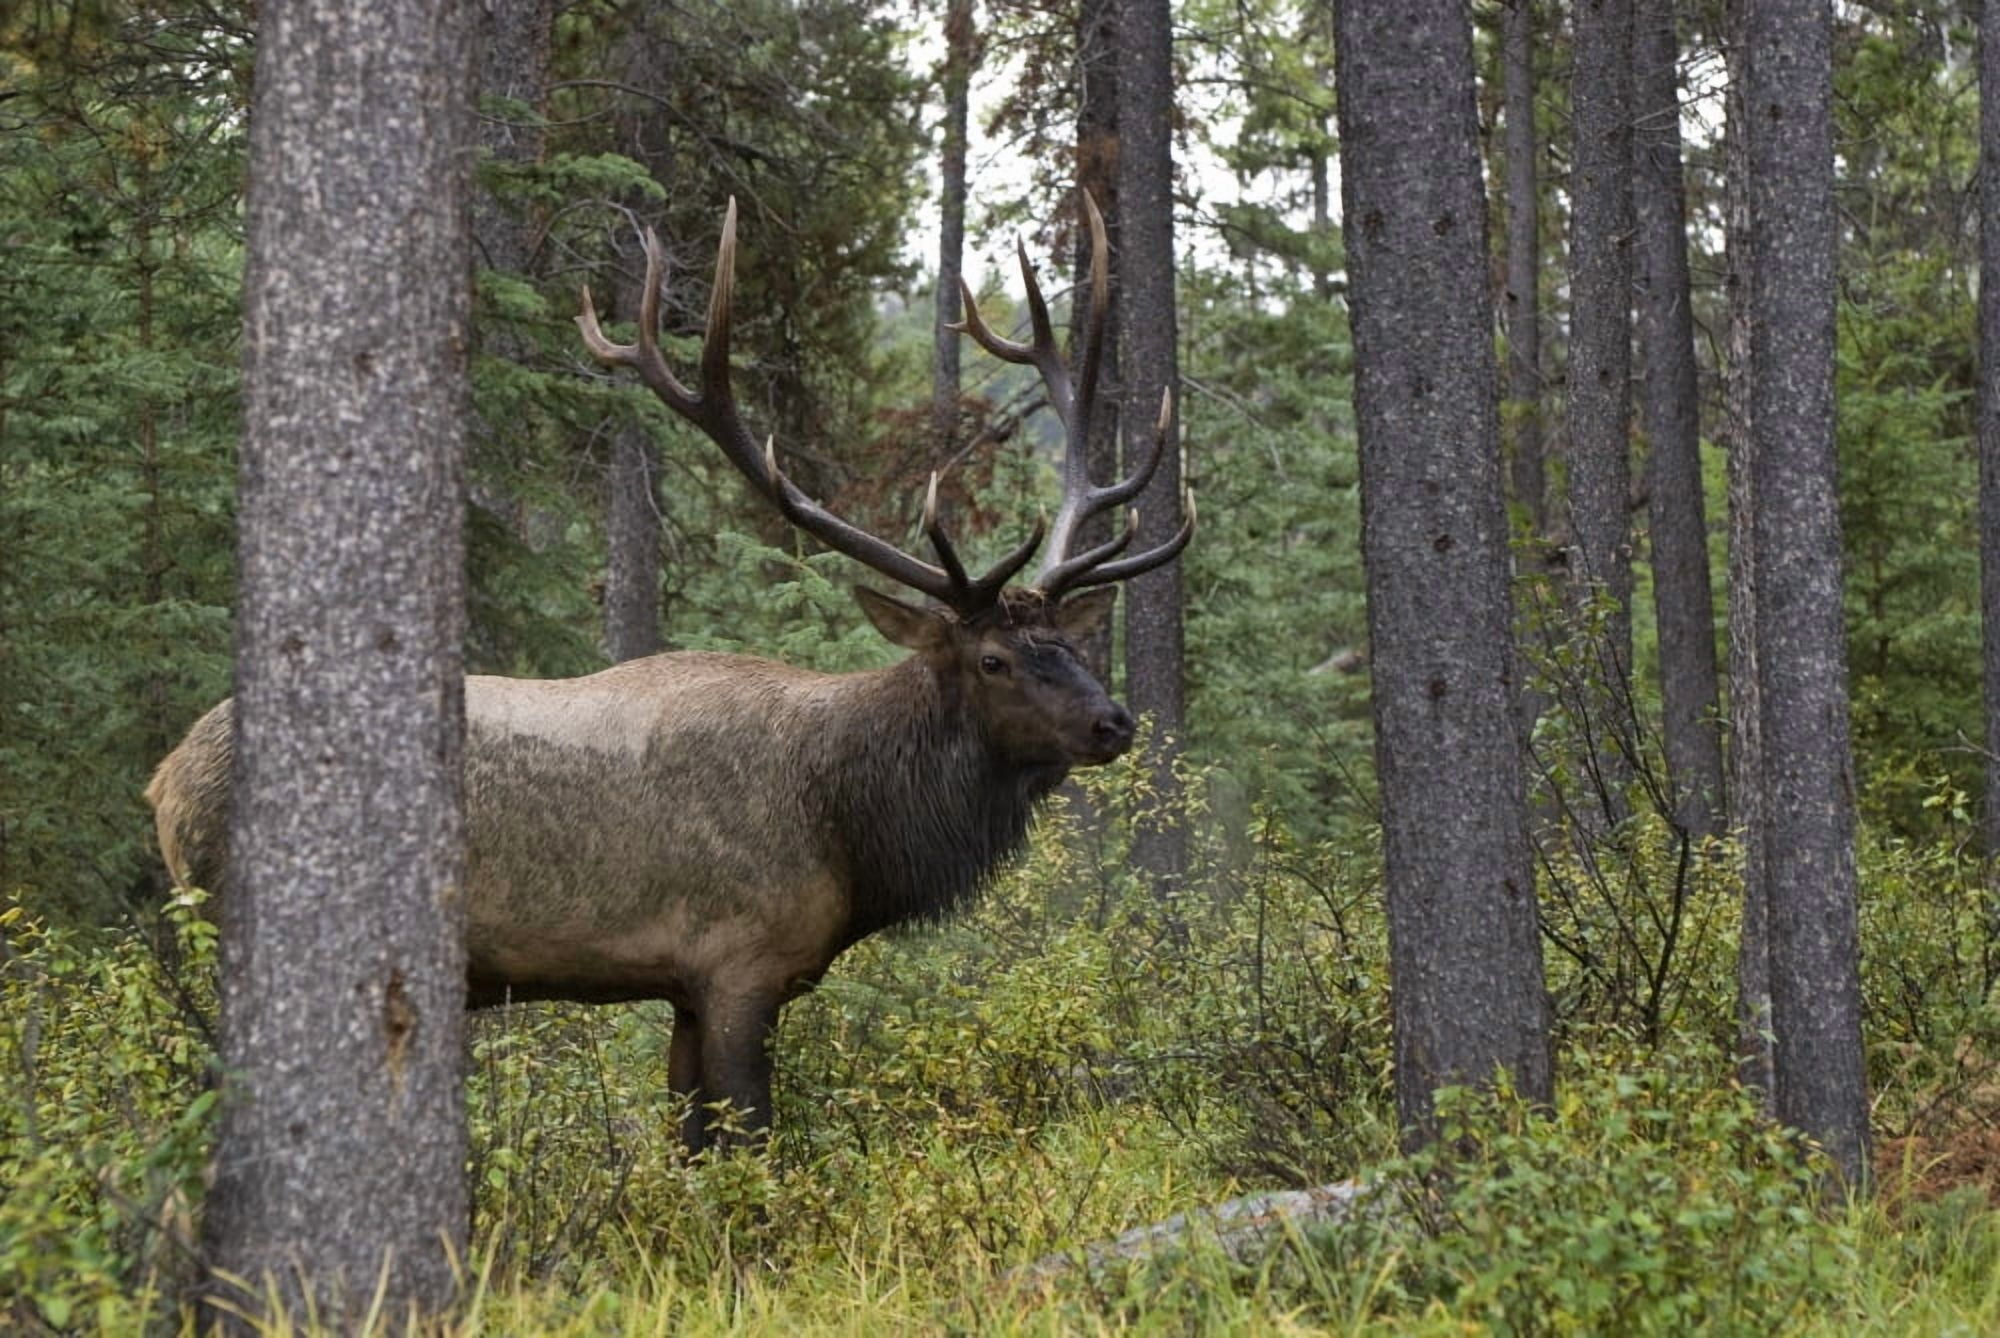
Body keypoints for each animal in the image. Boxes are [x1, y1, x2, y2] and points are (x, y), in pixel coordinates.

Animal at [146, 192, 1192, 1151]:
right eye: (993, 659)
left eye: (1074, 646)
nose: (1114, 722)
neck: (852, 832)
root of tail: (165, 777)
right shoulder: (738, 962)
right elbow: (753, 1148)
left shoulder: (684, 986)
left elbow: (688, 1151)